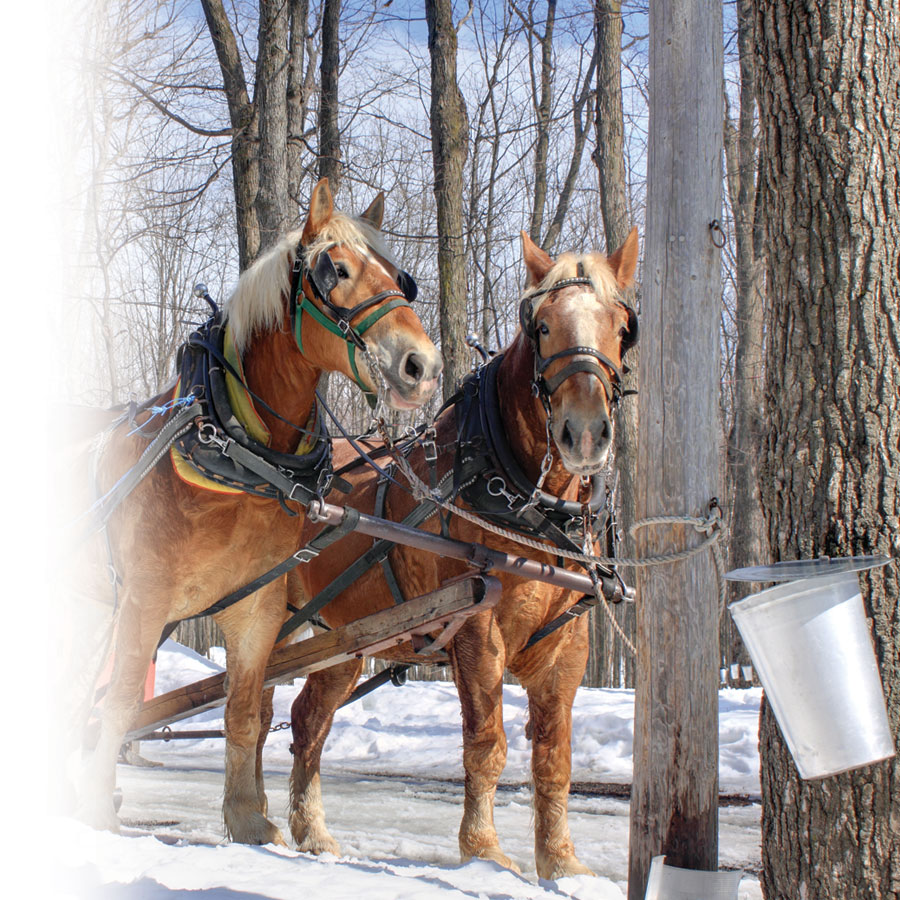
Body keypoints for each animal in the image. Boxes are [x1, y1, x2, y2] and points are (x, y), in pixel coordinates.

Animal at [77, 179, 442, 848]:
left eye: (399, 277)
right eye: (335, 269)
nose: (422, 366)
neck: (234, 450)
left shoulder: (257, 609)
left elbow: (245, 711)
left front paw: (247, 815)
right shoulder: (144, 597)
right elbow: (119, 702)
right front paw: (93, 809)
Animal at [278, 227, 636, 880]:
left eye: (623, 327)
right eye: (541, 325)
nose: (584, 433)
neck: (530, 505)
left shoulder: (568, 644)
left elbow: (555, 759)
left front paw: (562, 863)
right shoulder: (475, 629)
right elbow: (487, 745)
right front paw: (484, 852)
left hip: (340, 636)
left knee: (309, 719)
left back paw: (311, 832)